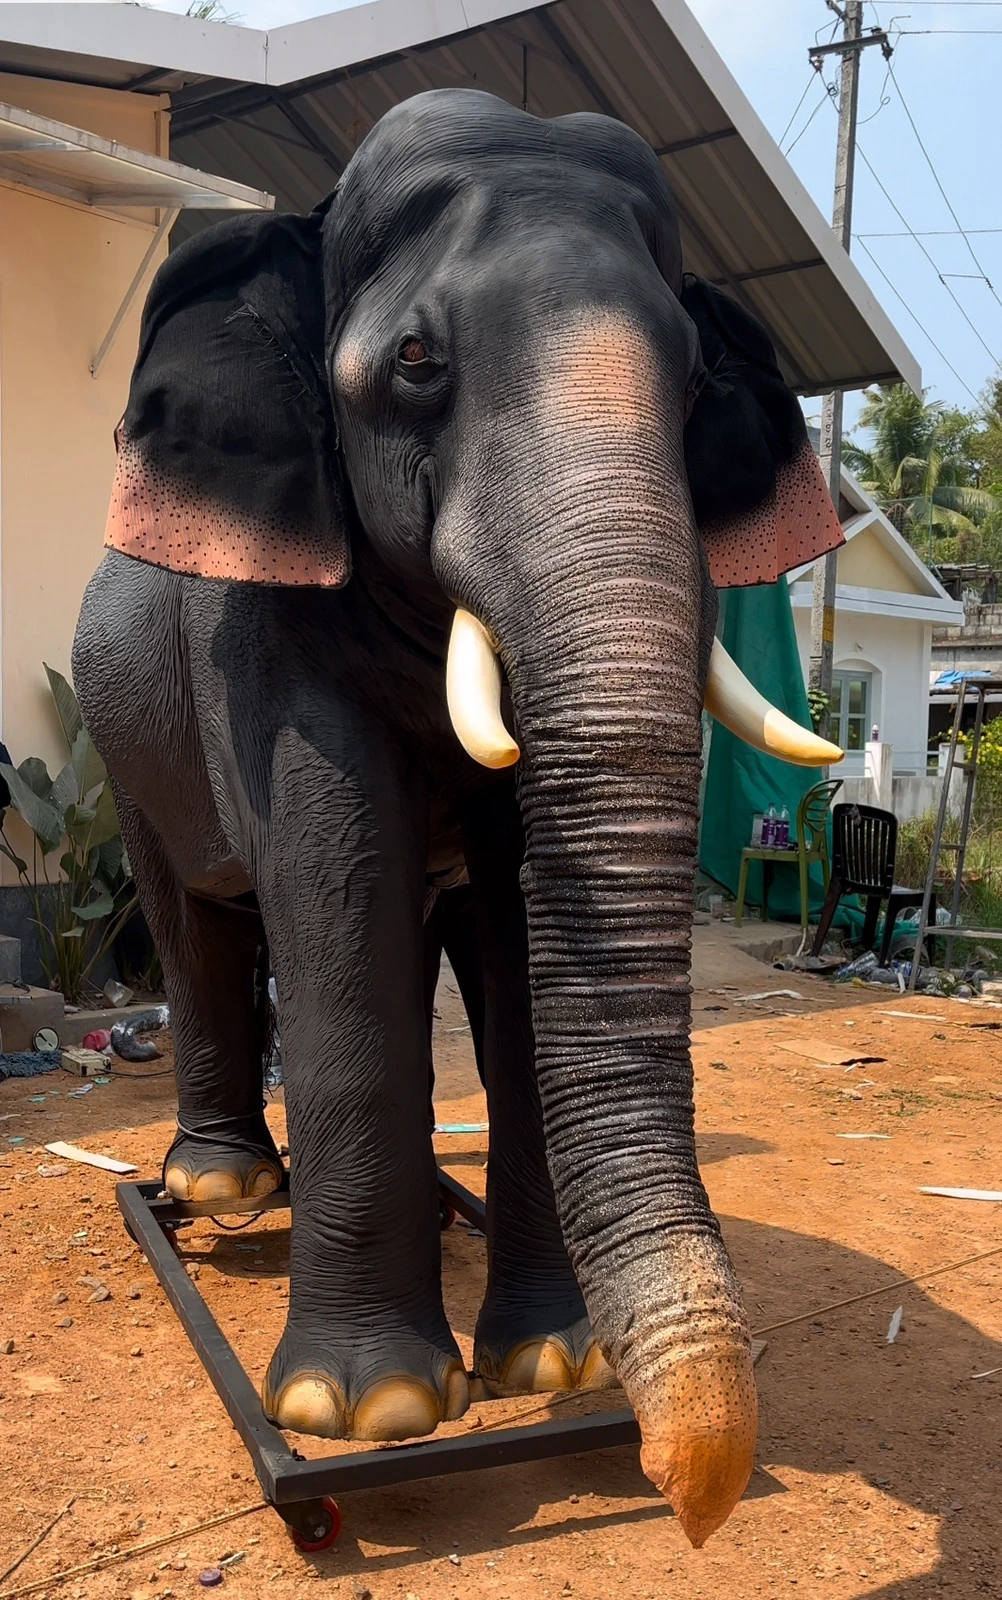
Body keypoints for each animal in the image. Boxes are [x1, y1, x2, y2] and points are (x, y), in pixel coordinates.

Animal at [72, 88, 844, 1547]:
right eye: (417, 361)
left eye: (695, 383)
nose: (689, 1497)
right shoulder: (261, 638)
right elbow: (339, 902)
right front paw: (362, 1414)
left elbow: (512, 937)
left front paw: (553, 1366)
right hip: (119, 733)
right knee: (199, 914)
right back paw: (220, 1192)